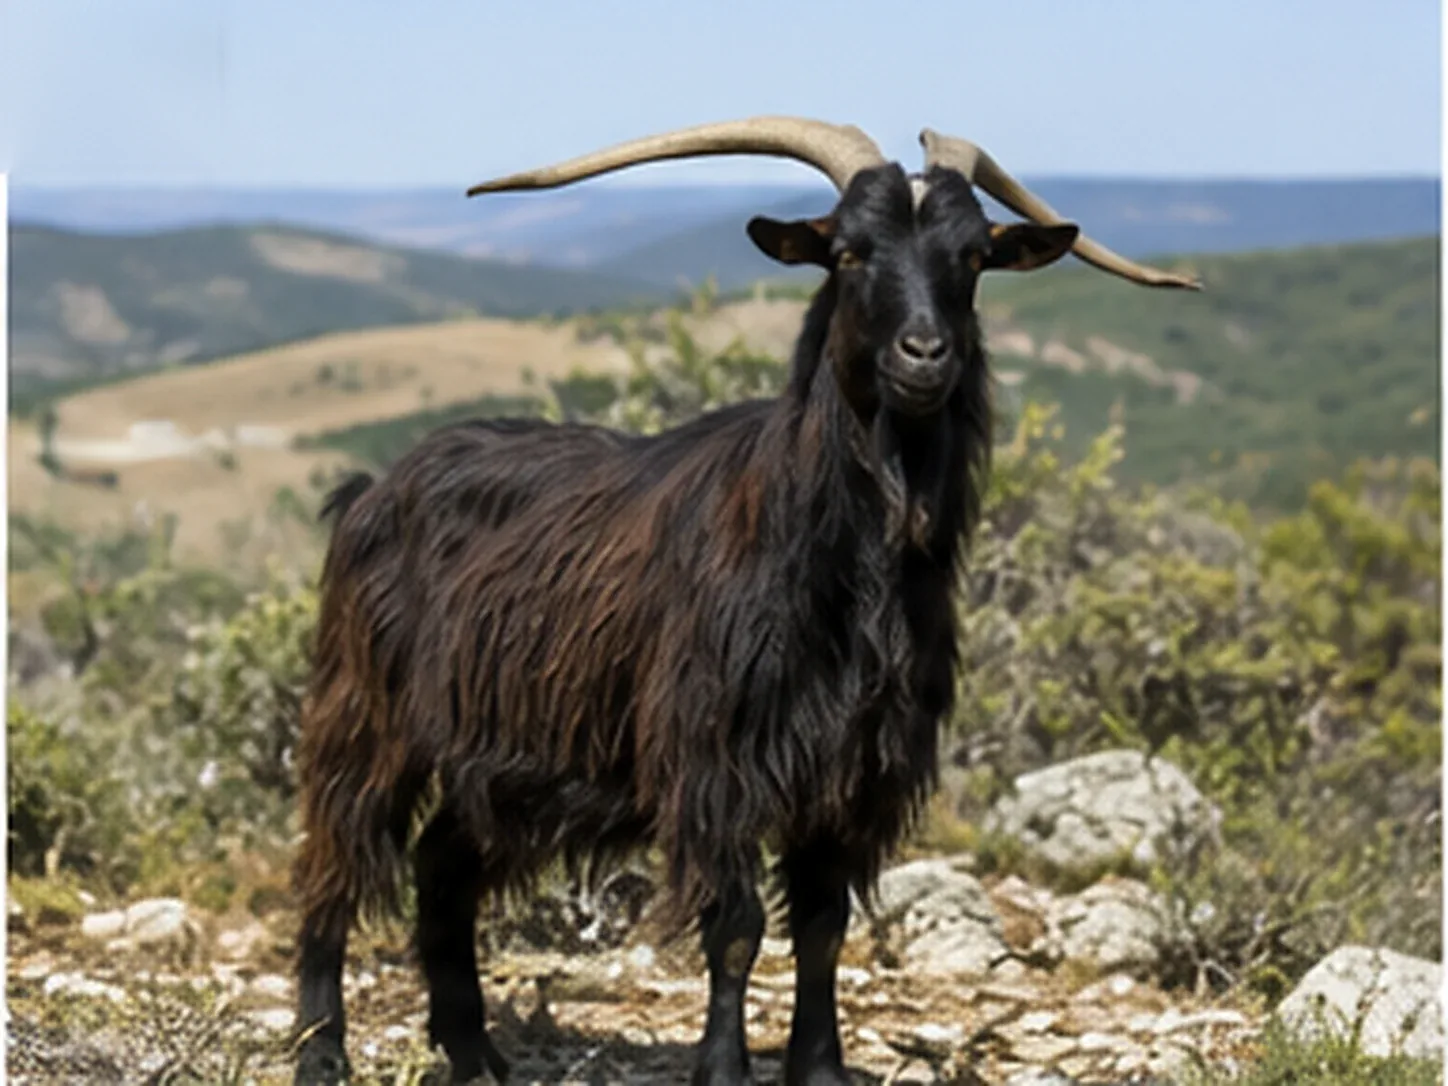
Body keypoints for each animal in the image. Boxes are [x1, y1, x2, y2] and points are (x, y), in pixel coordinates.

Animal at [291, 116, 1198, 1086]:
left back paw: (475, 1054)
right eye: (848, 251)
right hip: (366, 715)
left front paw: (821, 1069)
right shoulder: (717, 762)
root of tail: (373, 490)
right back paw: (322, 1052)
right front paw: (724, 1069)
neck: (828, 561)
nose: (925, 356)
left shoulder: (850, 775)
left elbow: (824, 929)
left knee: (442, 867)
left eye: (974, 256)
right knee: (331, 864)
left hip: (502, 752)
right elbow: (736, 929)